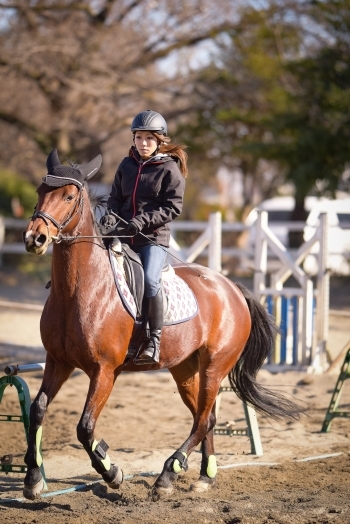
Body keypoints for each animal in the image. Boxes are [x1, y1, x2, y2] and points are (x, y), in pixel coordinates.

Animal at [22, 150, 300, 500]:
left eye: (69, 196)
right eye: (39, 192)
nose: (35, 238)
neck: (79, 289)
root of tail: (232, 287)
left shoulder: (104, 371)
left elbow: (85, 428)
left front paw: (112, 472)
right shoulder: (58, 362)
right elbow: (37, 410)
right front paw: (32, 479)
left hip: (214, 367)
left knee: (202, 420)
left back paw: (168, 475)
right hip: (184, 369)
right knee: (206, 417)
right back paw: (204, 477)